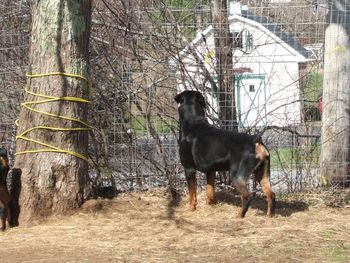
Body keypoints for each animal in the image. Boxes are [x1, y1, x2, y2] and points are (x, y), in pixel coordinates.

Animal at [175, 91, 276, 219]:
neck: (193, 122)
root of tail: (255, 140)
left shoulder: (189, 169)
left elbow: (192, 193)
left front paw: (191, 209)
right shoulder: (210, 170)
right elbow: (210, 190)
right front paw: (211, 204)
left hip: (237, 176)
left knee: (247, 197)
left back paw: (239, 216)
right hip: (262, 173)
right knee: (271, 194)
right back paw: (269, 215)